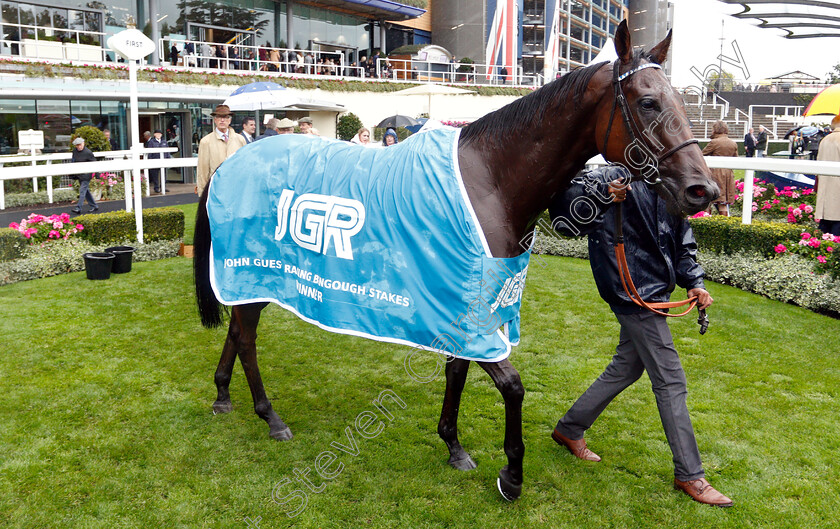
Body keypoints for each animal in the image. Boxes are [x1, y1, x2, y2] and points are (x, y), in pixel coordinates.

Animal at [194, 19, 720, 500]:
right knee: (247, 339)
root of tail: (230, 162)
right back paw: (270, 416)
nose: (703, 190)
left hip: (255, 280)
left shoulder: (466, 301)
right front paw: (512, 474)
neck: (490, 181)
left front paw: (453, 445)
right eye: (648, 102)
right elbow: (512, 385)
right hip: (252, 273)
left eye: (682, 103)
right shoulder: (466, 309)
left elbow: (458, 370)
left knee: (238, 333)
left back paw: (222, 395)